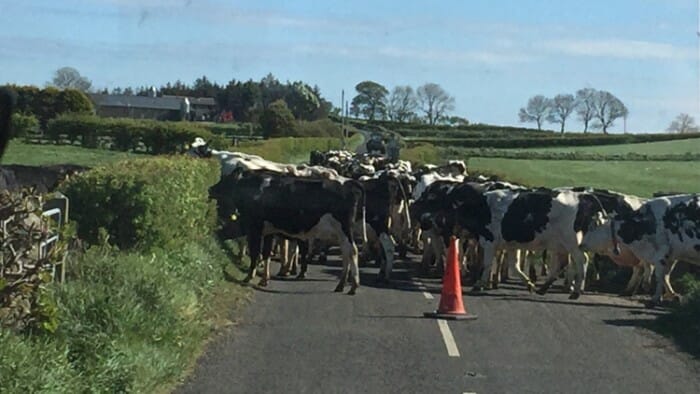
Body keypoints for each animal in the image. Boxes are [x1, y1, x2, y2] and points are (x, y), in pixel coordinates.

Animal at [209, 169, 366, 296]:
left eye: (226, 180)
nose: (210, 189)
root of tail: (349, 183)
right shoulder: (269, 231)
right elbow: (266, 254)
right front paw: (264, 279)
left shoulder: (255, 228)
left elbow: (255, 253)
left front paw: (249, 277)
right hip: (340, 233)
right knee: (346, 252)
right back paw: (341, 285)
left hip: (344, 228)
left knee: (352, 251)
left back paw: (353, 286)